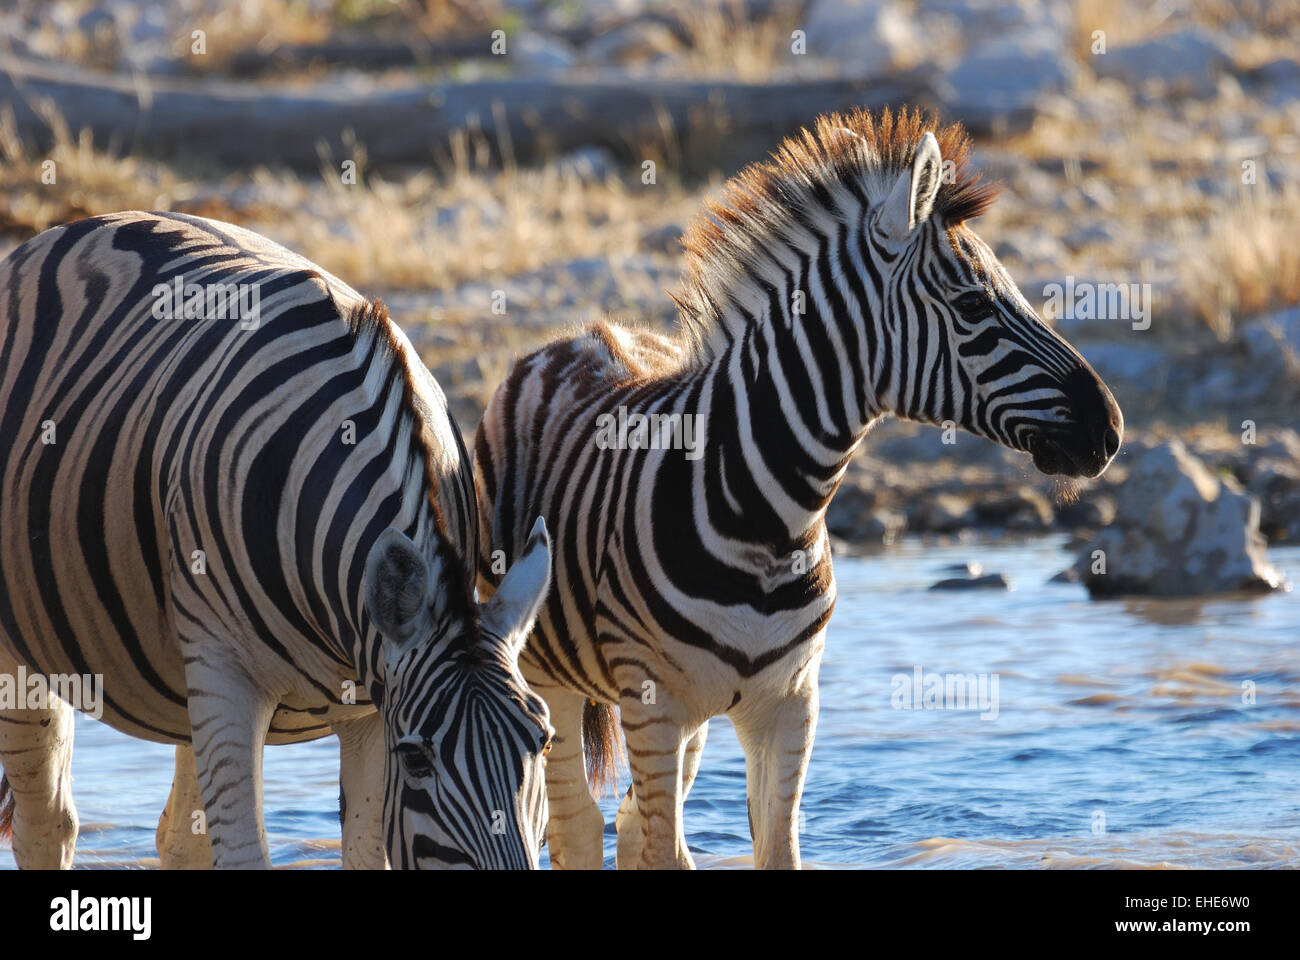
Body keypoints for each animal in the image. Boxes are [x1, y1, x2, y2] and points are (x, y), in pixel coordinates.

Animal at [0, 211, 555, 869]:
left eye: (542, 741)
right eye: (418, 758)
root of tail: (70, 229)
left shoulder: (369, 704)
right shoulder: (226, 676)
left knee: (179, 838)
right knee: (47, 824)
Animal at [474, 108, 1124, 870]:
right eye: (971, 304)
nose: (1110, 427)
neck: (768, 515)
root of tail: (577, 335)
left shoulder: (788, 703)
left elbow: (772, 849)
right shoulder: (653, 704)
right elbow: (650, 847)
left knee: (633, 822)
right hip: (552, 671)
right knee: (579, 827)